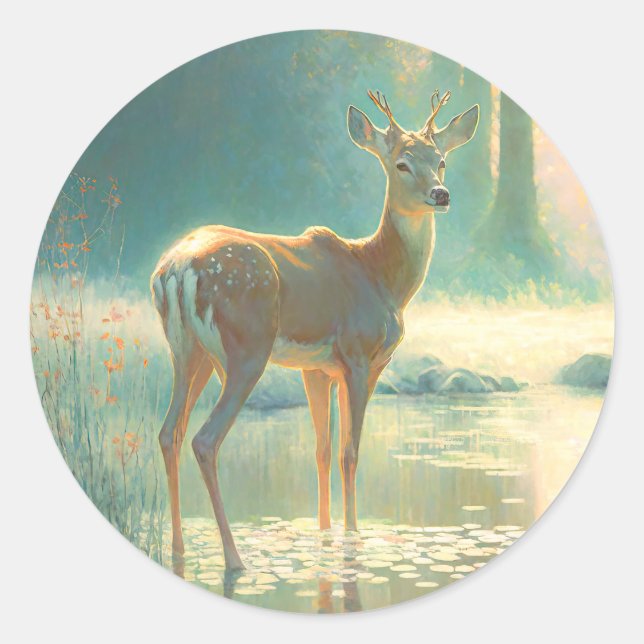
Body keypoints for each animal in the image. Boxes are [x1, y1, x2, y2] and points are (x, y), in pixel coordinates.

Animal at [151, 88, 479, 571]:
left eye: (441, 161)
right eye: (401, 163)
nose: (441, 194)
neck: (382, 278)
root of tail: (174, 269)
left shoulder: (318, 369)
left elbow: (322, 450)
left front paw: (325, 534)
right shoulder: (361, 357)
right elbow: (349, 452)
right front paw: (353, 537)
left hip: (188, 352)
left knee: (168, 432)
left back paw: (178, 550)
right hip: (246, 348)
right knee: (205, 440)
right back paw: (234, 558)